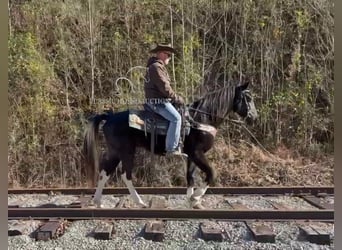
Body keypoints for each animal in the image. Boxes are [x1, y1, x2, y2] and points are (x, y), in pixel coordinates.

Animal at [84, 80, 258, 207]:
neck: (201, 119)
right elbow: (211, 173)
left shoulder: (192, 155)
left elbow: (190, 177)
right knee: (125, 175)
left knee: (105, 173)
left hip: (115, 152)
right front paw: (196, 197)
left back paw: (98, 202)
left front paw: (190, 201)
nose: (254, 118)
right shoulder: (197, 153)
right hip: (126, 152)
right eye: (248, 98)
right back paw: (140, 202)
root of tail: (109, 117)